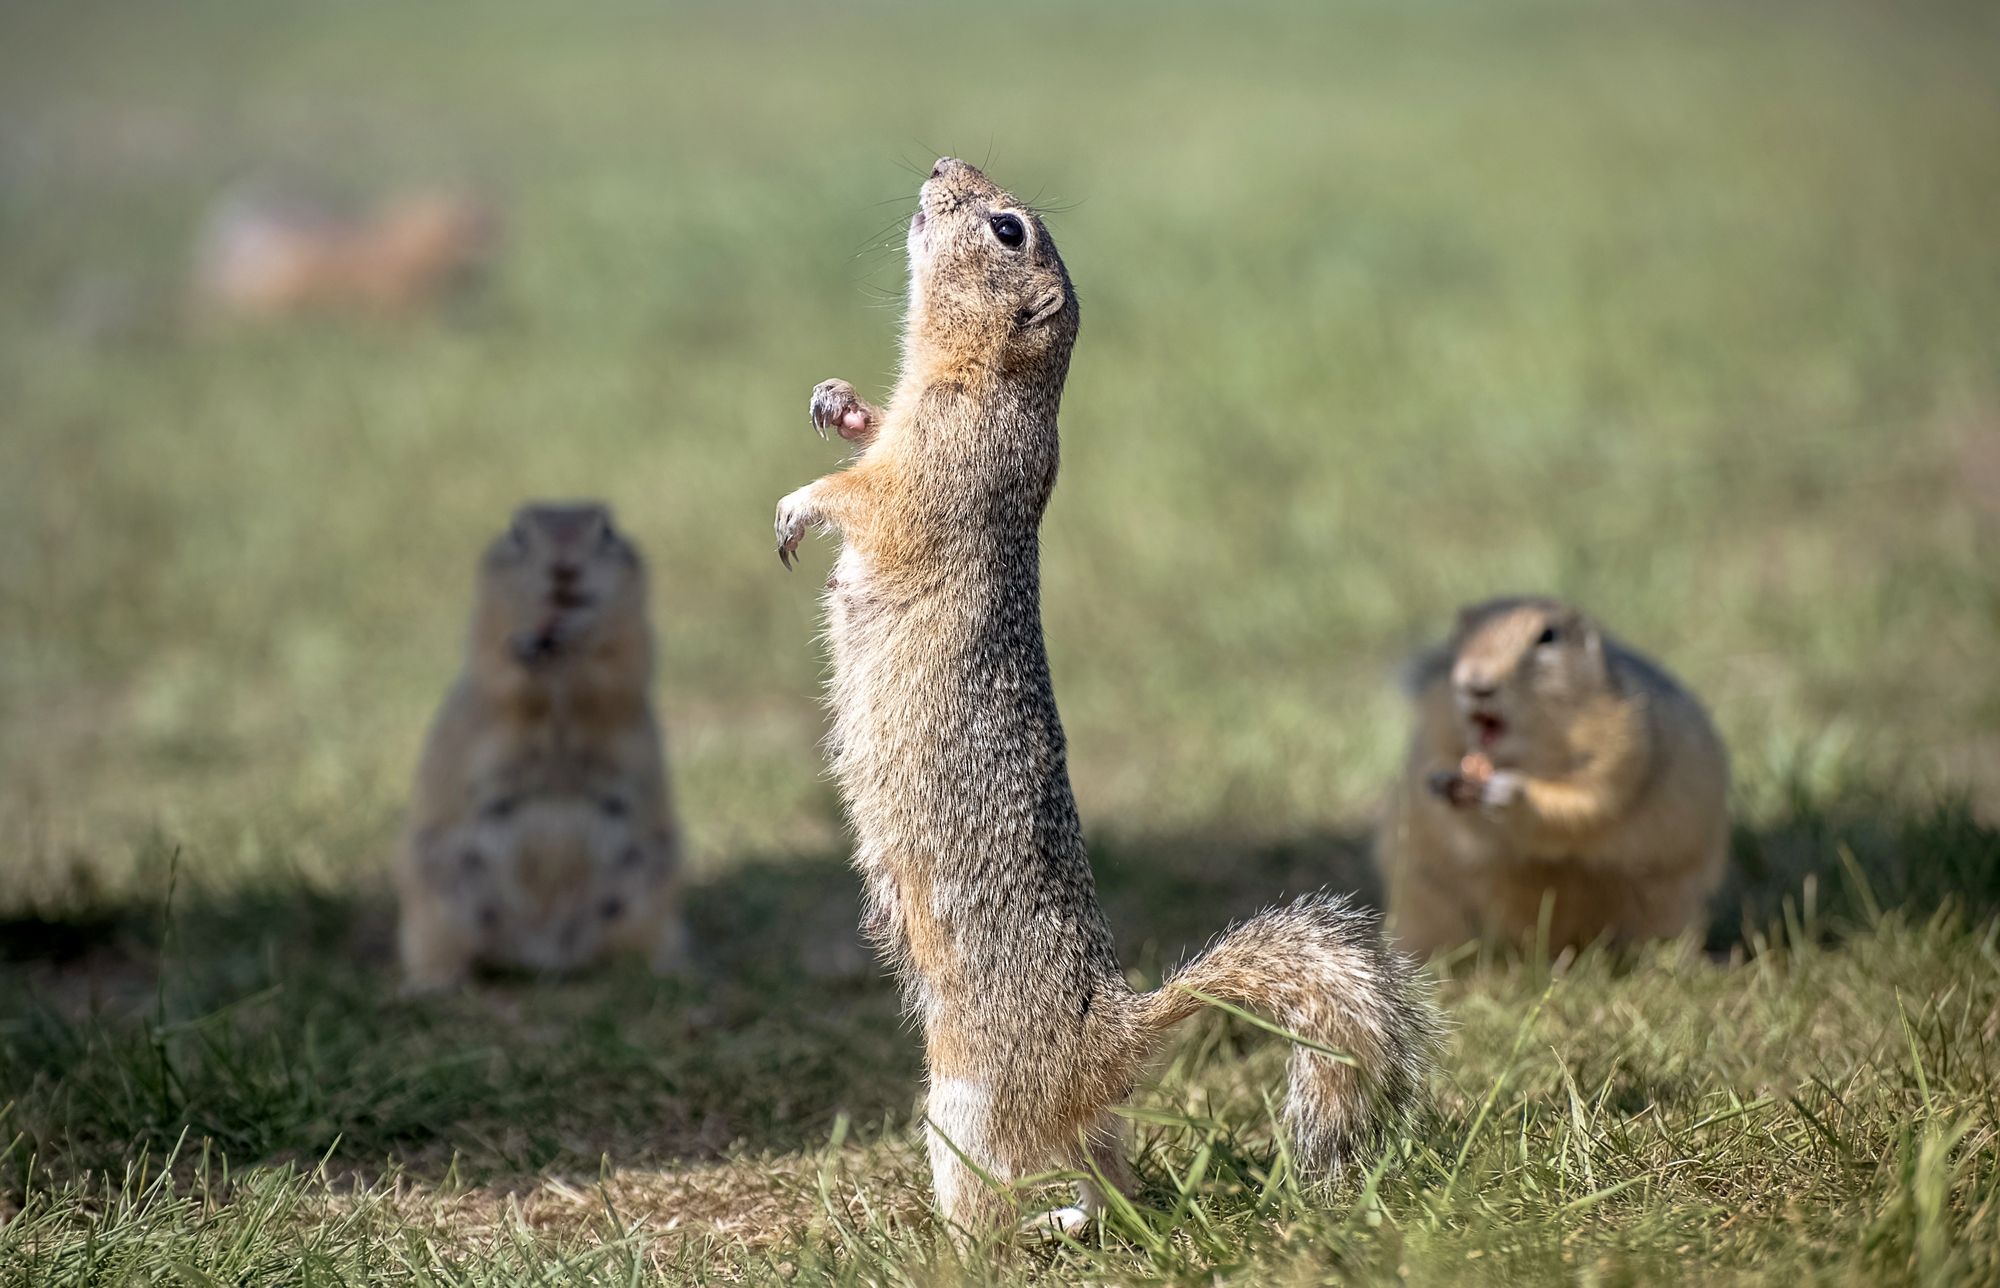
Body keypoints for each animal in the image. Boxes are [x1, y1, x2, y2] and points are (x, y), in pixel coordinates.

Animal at [394, 504, 692, 988]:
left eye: (607, 530)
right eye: (517, 531)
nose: (564, 568)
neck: (559, 661)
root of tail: (546, 952)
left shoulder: (631, 641)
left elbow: (615, 676)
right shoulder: (489, 637)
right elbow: (504, 679)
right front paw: (528, 655)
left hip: (651, 885)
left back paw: (669, 970)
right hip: (435, 894)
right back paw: (432, 983)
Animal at [764, 161, 1440, 1240]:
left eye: (1007, 230)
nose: (941, 167)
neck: (979, 375)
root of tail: (1110, 1041)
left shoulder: (938, 467)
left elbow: (868, 499)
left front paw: (799, 505)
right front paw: (837, 400)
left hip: (962, 1101)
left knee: (998, 1203)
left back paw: (962, 1243)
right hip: (1073, 1127)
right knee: (1110, 1182)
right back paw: (1078, 1220)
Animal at [1376, 600, 1736, 960]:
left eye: (1547, 637)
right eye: (1458, 636)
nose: (1475, 682)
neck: (1523, 755)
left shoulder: (1622, 741)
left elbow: (1586, 803)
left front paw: (1507, 792)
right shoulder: (1434, 729)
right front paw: (1441, 783)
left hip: (1672, 900)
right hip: (1423, 894)